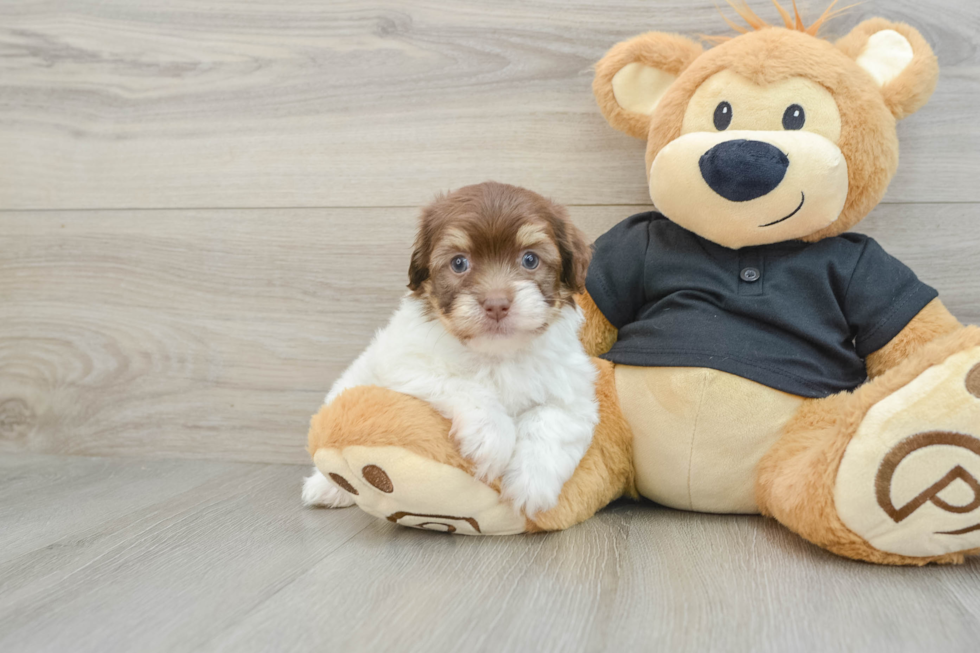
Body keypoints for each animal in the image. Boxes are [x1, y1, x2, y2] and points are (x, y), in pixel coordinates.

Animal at [302, 182, 600, 516]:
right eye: (459, 263)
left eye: (530, 260)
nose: (496, 304)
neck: (498, 355)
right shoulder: (409, 364)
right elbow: (463, 385)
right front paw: (492, 438)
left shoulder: (574, 394)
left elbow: (551, 420)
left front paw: (531, 484)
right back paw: (326, 487)